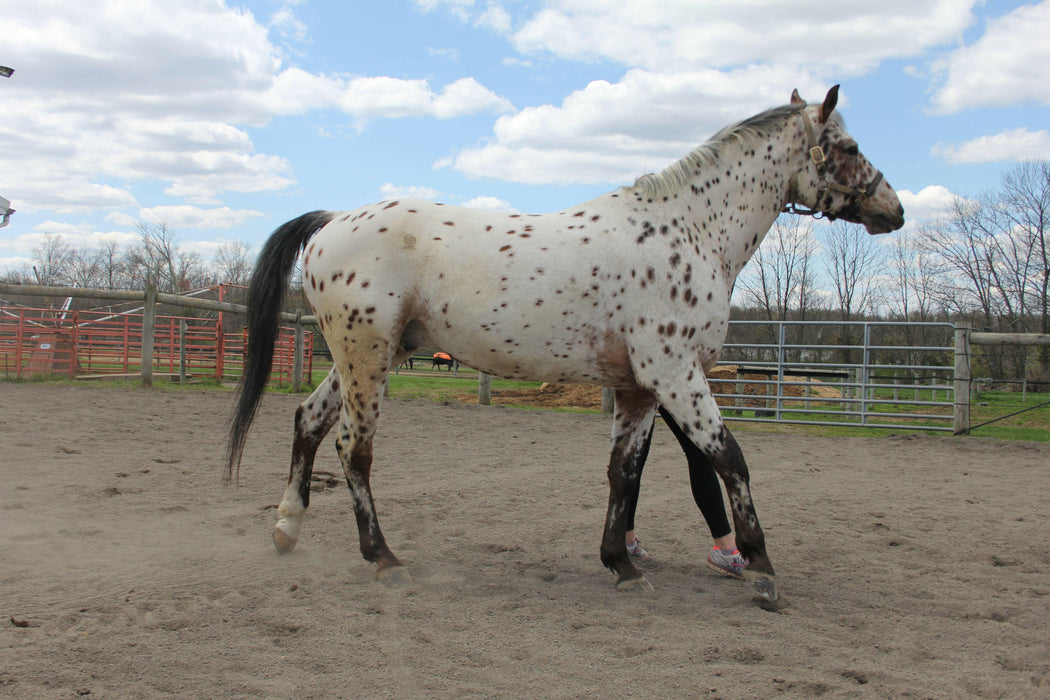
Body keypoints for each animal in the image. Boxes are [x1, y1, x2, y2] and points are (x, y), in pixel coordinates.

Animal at [227, 86, 902, 604]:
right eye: (848, 148)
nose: (893, 210)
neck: (689, 233)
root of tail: (332, 221)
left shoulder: (639, 387)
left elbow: (624, 472)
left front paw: (621, 564)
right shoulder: (675, 376)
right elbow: (730, 458)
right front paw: (762, 570)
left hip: (368, 355)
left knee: (309, 421)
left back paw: (288, 528)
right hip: (366, 358)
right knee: (354, 446)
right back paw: (383, 557)